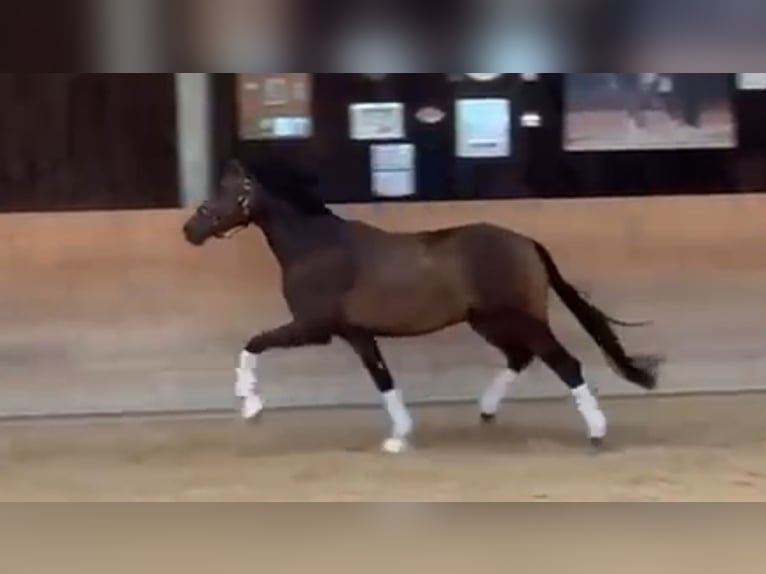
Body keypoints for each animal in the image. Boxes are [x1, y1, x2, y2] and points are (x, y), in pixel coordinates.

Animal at [183, 158, 664, 454]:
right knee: (520, 357)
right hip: (488, 321)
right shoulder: (356, 334)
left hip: (520, 319)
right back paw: (487, 410)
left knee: (565, 364)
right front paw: (399, 438)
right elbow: (383, 379)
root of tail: (526, 243)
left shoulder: (313, 327)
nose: (190, 229)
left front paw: (250, 405)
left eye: (230, 189)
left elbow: (252, 344)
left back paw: (596, 434)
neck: (315, 246)